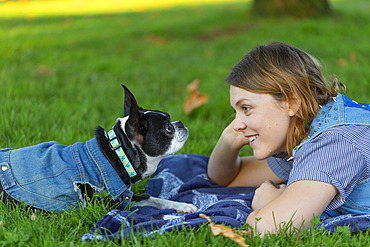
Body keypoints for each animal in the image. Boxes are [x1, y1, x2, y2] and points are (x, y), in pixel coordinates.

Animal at [0, 85, 197, 214]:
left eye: (171, 119)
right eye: (168, 129)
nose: (181, 123)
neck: (118, 153)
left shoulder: (124, 196)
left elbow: (152, 198)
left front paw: (184, 206)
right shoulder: (103, 204)